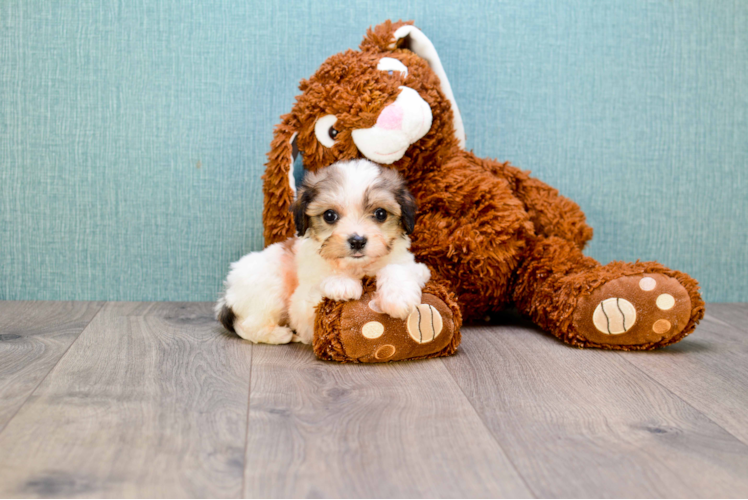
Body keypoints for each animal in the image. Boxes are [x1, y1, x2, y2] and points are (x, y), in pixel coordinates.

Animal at [213, 159, 430, 344]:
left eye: (381, 214)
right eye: (329, 215)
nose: (357, 241)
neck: (356, 267)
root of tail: (227, 294)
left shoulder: (419, 268)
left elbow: (397, 268)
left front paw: (398, 295)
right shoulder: (301, 308)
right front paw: (341, 283)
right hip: (269, 285)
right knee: (247, 325)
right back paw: (280, 335)